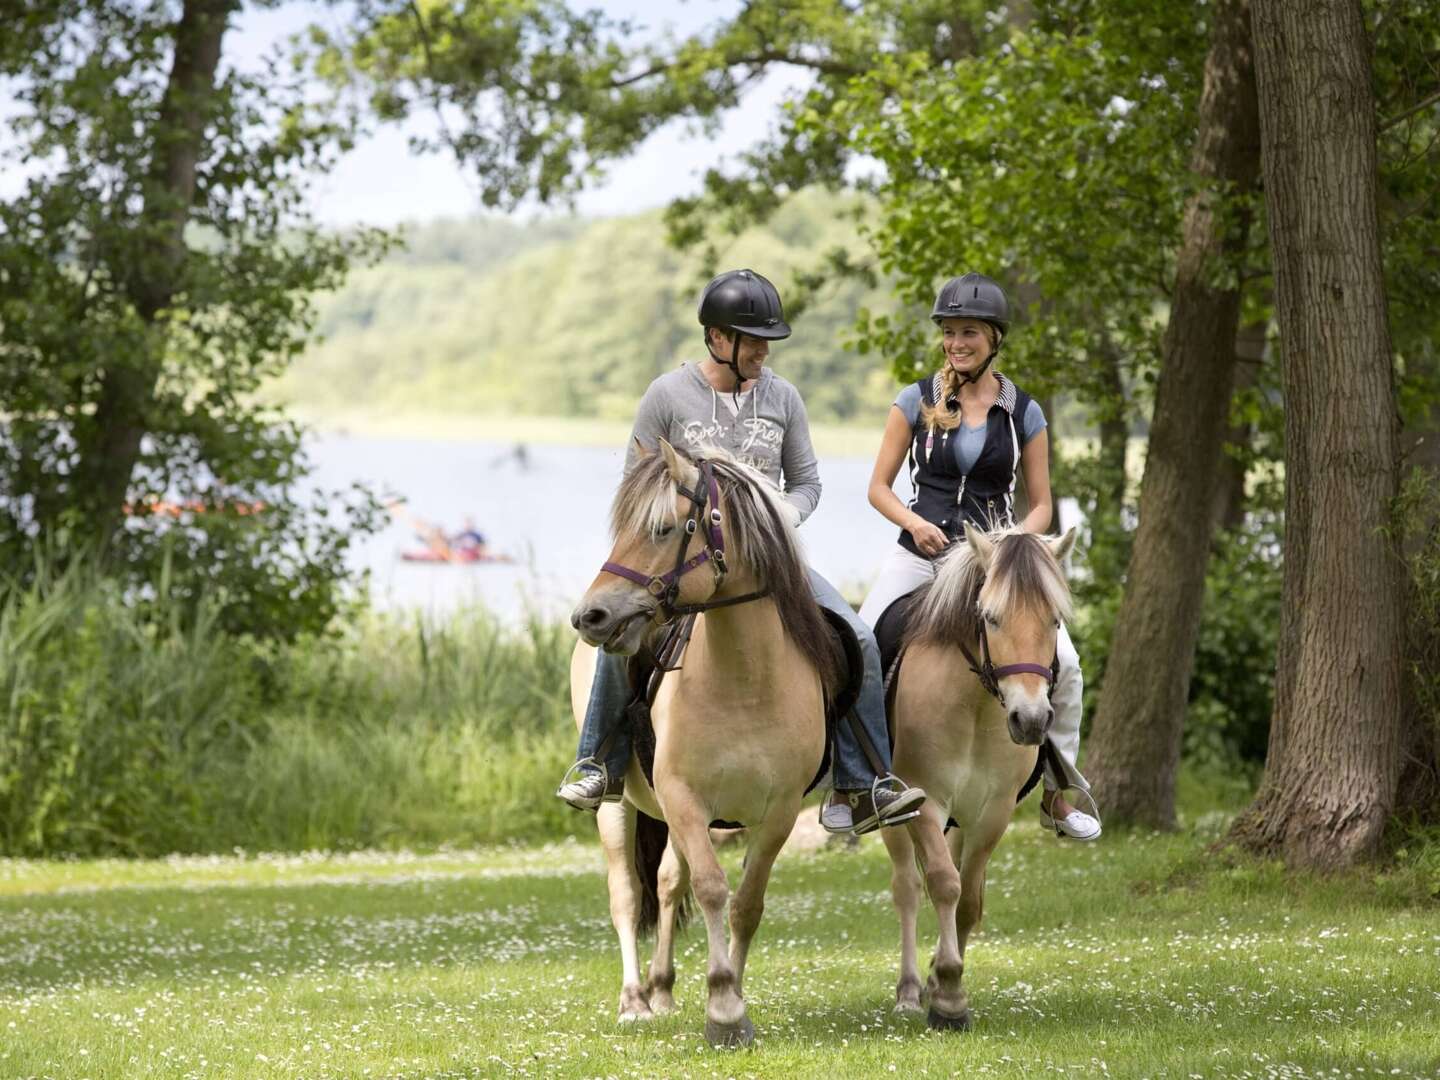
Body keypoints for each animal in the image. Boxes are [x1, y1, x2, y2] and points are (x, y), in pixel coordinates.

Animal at [570, 440, 840, 1048]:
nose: (589, 616)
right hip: (619, 805)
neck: (745, 681)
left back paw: (663, 990)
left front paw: (733, 997)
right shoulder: (686, 801)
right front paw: (722, 1008)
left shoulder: (777, 813)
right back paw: (634, 1002)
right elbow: (714, 888)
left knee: (669, 883)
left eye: (664, 528)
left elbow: (746, 903)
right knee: (626, 893)